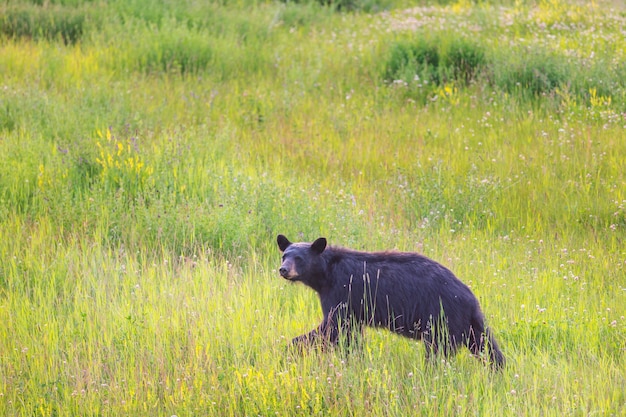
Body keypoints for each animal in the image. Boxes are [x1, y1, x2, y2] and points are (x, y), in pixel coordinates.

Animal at [276, 234, 502, 368]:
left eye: (299, 258)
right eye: (285, 255)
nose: (283, 270)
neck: (325, 274)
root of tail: (468, 296)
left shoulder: (341, 291)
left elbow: (333, 327)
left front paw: (290, 349)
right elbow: (350, 334)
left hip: (442, 318)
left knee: (438, 350)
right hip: (470, 322)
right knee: (487, 347)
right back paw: (497, 370)